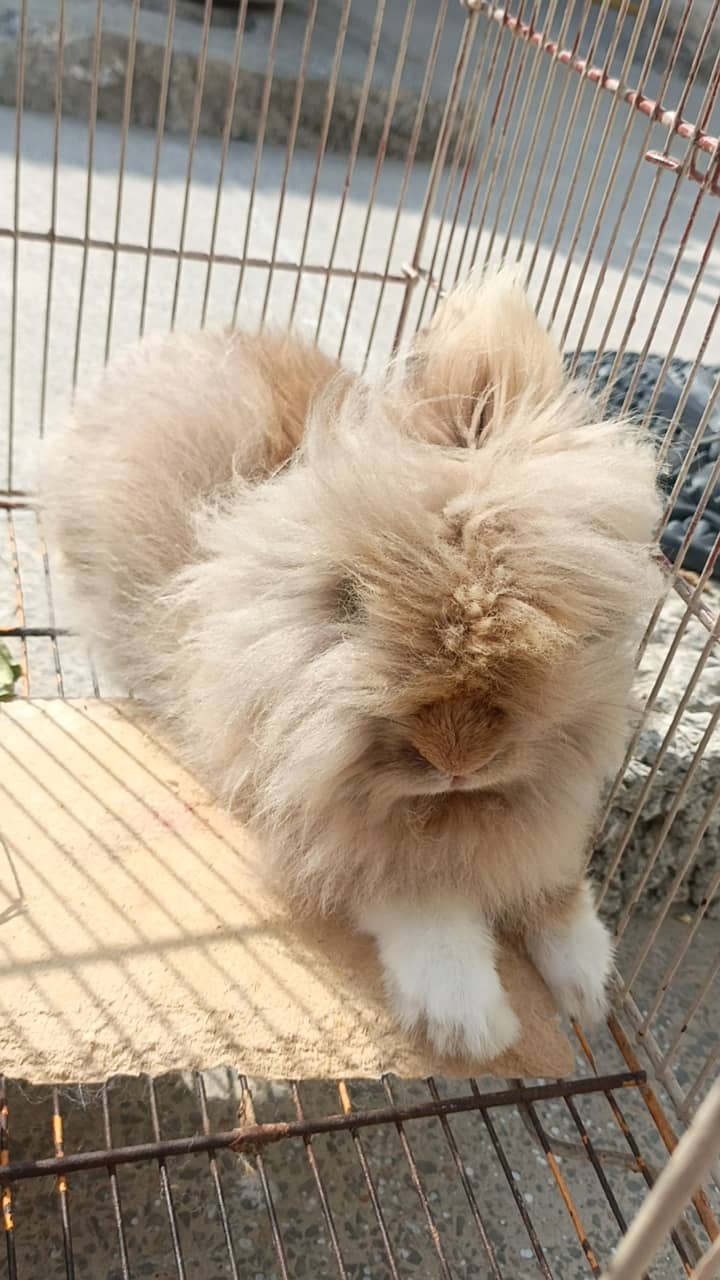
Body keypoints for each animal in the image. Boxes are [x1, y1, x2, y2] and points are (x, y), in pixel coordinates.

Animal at [43, 272, 663, 1061]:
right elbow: (420, 901)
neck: (452, 808)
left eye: (565, 617)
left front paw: (588, 984)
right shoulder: (320, 818)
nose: (457, 756)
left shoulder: (546, 816)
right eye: (349, 601)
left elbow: (554, 886)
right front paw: (472, 1023)